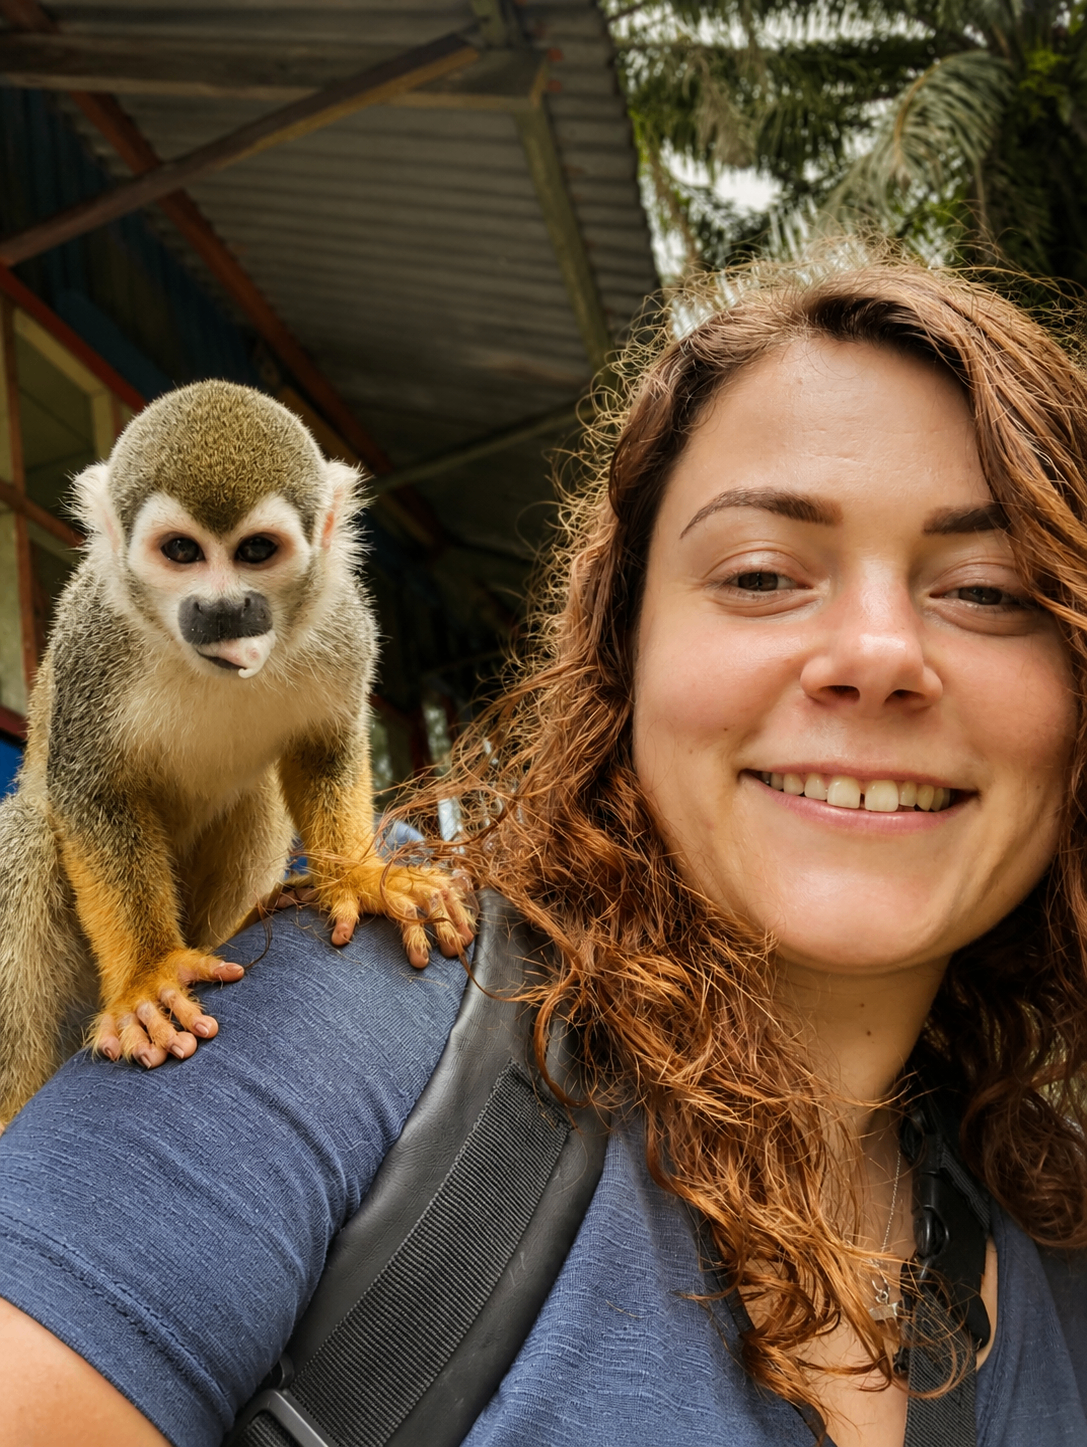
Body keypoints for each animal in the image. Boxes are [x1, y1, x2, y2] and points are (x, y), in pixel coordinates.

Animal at [0, 379, 472, 1127]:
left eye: (254, 551)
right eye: (181, 551)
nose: (223, 609)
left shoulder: (341, 620)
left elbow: (322, 748)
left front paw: (361, 877)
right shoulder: (92, 642)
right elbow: (92, 792)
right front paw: (147, 977)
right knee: (29, 834)